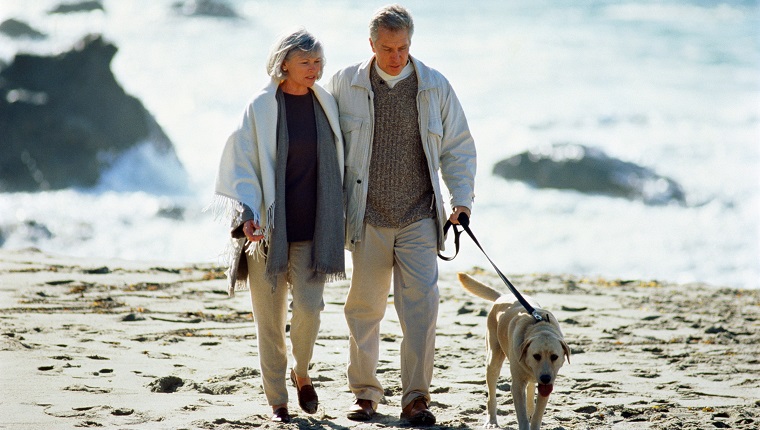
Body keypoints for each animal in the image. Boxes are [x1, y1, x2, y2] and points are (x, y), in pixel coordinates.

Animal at [458, 274, 568, 428]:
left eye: (554, 356)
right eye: (536, 356)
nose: (545, 378)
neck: (539, 326)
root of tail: (503, 296)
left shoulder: (547, 384)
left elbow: (538, 414)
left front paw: (534, 418)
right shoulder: (517, 385)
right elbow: (521, 415)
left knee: (531, 388)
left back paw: (530, 409)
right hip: (493, 359)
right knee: (491, 393)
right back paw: (491, 421)